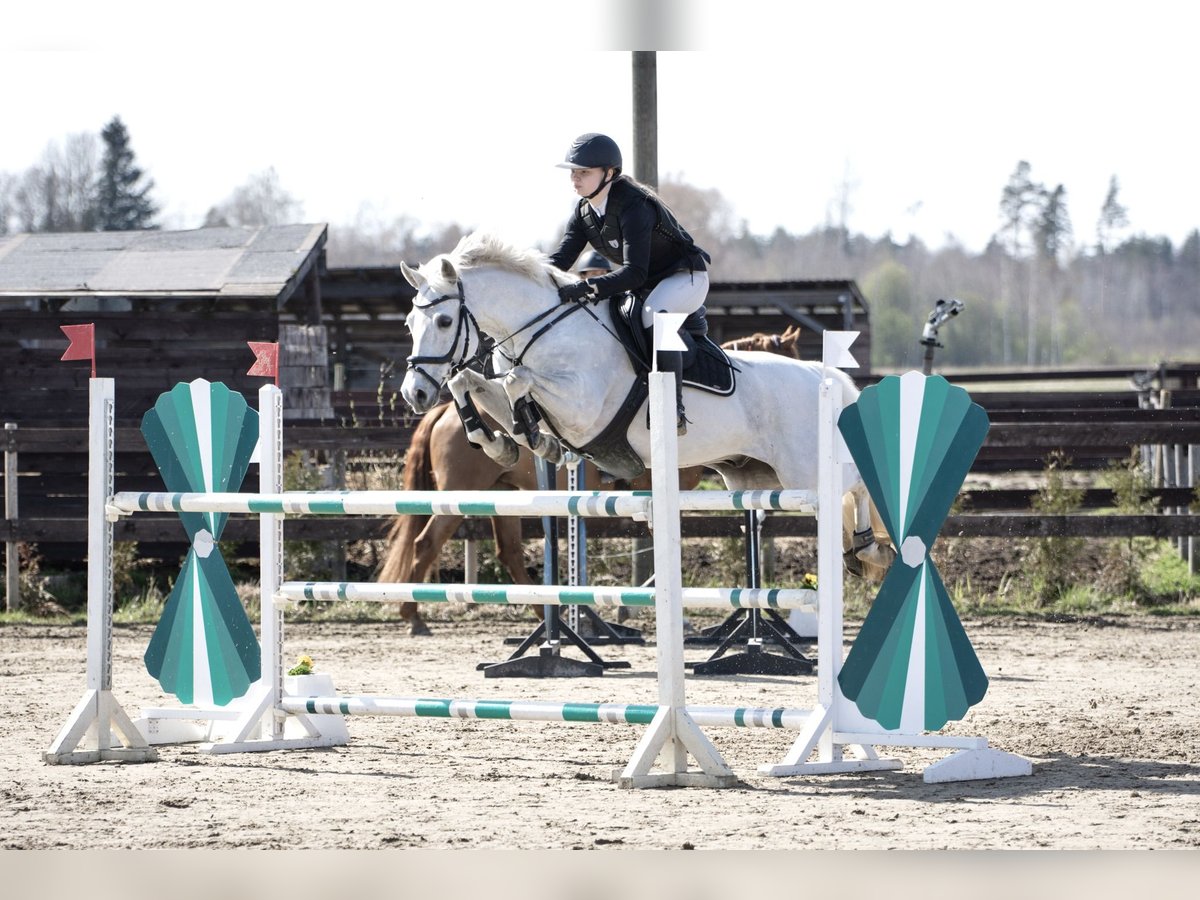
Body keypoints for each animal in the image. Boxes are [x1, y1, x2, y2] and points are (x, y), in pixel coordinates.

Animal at [400, 230, 892, 571]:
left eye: (444, 321)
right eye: (408, 323)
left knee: (855, 482)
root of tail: (826, 378)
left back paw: (870, 547)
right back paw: (865, 549)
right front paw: (504, 441)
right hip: (753, 475)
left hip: (803, 470)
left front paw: (533, 437)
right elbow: (469, 380)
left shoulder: (583, 409)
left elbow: (519, 381)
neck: (545, 327)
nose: (414, 394)